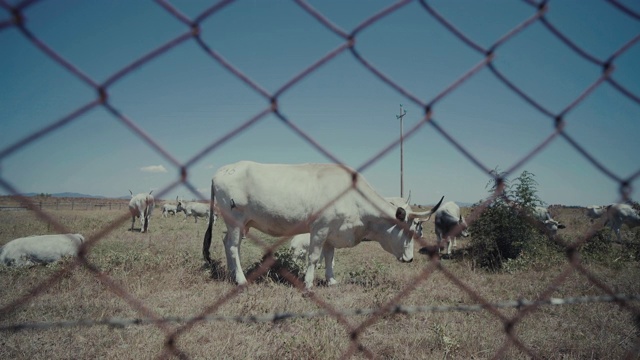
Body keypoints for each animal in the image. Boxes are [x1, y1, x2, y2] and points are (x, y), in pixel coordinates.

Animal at [202, 160, 442, 290]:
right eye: (408, 230)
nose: (410, 259)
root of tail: (222, 171)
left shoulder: (332, 233)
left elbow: (329, 258)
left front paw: (331, 280)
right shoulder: (319, 228)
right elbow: (314, 257)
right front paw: (308, 284)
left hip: (242, 224)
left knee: (228, 243)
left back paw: (233, 274)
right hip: (235, 219)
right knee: (233, 246)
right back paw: (241, 279)